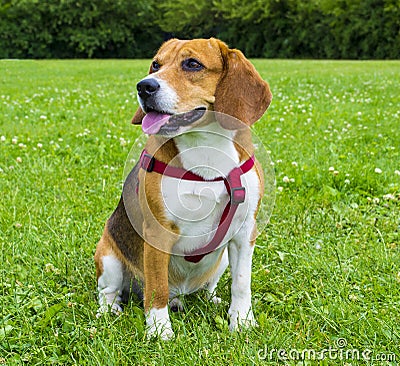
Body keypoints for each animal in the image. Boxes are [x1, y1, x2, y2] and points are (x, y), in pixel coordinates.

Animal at [94, 38, 272, 338]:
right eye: (156, 64)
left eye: (192, 64)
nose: (144, 86)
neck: (206, 149)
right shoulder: (157, 233)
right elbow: (157, 289)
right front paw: (159, 331)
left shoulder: (244, 231)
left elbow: (241, 283)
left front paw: (242, 321)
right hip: (108, 257)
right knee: (110, 291)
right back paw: (110, 310)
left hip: (222, 259)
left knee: (205, 287)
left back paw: (209, 299)